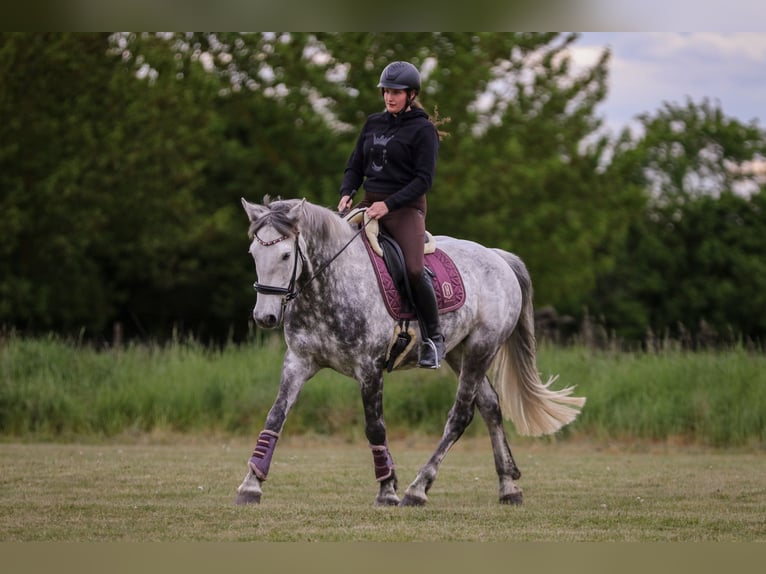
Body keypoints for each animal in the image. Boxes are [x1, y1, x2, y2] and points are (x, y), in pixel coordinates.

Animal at [236, 196, 585, 507]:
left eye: (285, 255)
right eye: (253, 253)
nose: (264, 317)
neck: (331, 284)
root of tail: (497, 257)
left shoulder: (369, 368)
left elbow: (375, 428)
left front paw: (387, 490)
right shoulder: (298, 362)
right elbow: (275, 417)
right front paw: (251, 485)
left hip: (481, 348)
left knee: (461, 415)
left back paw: (418, 489)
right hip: (458, 352)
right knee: (490, 407)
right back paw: (508, 486)